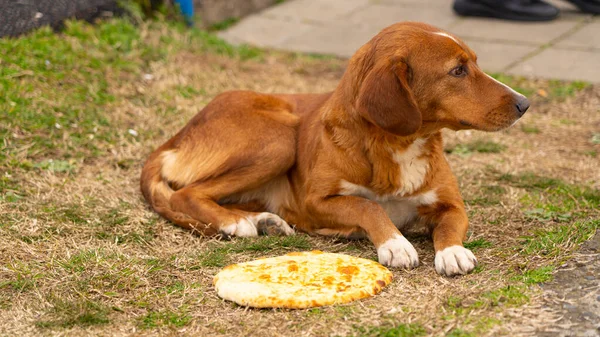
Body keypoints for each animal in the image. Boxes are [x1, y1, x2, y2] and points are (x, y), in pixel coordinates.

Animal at [139, 22, 524, 276]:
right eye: (458, 71)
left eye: (475, 63)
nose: (525, 103)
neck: (394, 144)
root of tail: (177, 135)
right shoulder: (316, 202)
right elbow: (367, 206)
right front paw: (395, 243)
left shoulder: (451, 204)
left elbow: (448, 226)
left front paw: (453, 252)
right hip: (279, 139)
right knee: (186, 194)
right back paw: (235, 224)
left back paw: (261, 220)